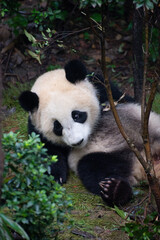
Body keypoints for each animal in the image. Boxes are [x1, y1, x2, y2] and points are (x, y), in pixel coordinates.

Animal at [18, 59, 160, 206]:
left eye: (76, 115)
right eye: (57, 127)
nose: (77, 142)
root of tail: (143, 166)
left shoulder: (104, 89)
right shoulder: (36, 127)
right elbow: (47, 150)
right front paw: (56, 176)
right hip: (104, 157)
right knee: (92, 169)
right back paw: (115, 189)